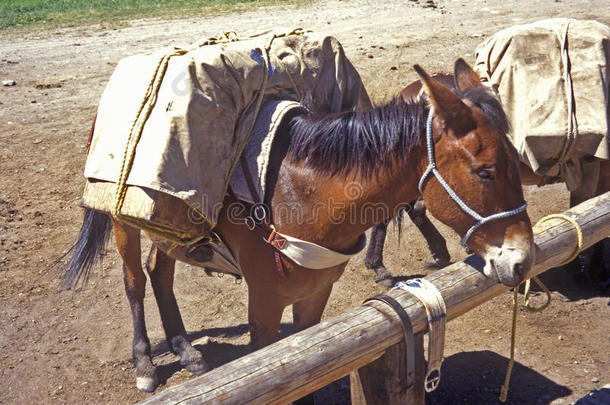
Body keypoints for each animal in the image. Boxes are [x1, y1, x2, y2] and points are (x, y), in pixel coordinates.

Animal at [61, 60, 532, 392]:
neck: (299, 195)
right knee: (135, 283)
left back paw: (185, 350)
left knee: (160, 272)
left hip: (170, 224)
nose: (524, 259)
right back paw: (144, 362)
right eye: (485, 171)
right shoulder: (265, 305)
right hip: (124, 221)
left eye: (517, 159)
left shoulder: (314, 296)